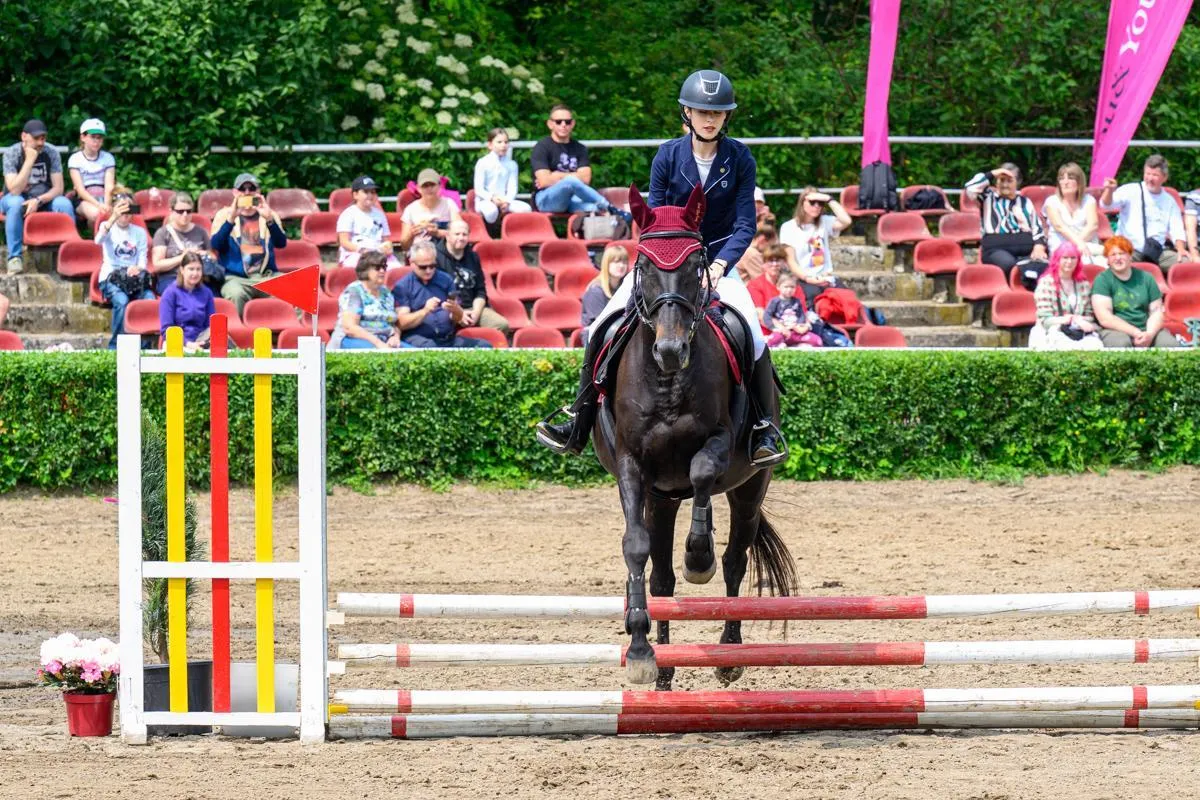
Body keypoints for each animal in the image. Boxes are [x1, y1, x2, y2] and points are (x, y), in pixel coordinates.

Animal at [590, 183, 796, 690]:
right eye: (644, 266)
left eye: (696, 267)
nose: (669, 350)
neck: (666, 382)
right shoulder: (631, 467)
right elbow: (636, 548)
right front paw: (640, 653)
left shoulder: (720, 442)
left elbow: (702, 471)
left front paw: (698, 558)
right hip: (661, 498)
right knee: (662, 578)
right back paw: (665, 668)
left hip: (750, 488)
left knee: (737, 559)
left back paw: (728, 654)